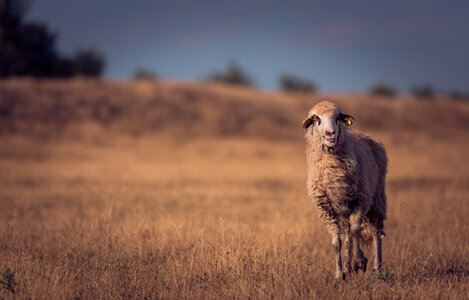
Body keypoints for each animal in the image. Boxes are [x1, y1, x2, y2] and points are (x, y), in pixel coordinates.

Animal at [302, 101, 386, 282]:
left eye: (338, 118)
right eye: (316, 118)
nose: (330, 133)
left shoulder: (361, 199)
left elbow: (356, 230)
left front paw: (360, 261)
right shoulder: (326, 209)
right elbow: (337, 242)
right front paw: (339, 274)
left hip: (377, 197)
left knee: (375, 232)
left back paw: (377, 269)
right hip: (344, 208)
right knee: (347, 235)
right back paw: (348, 267)